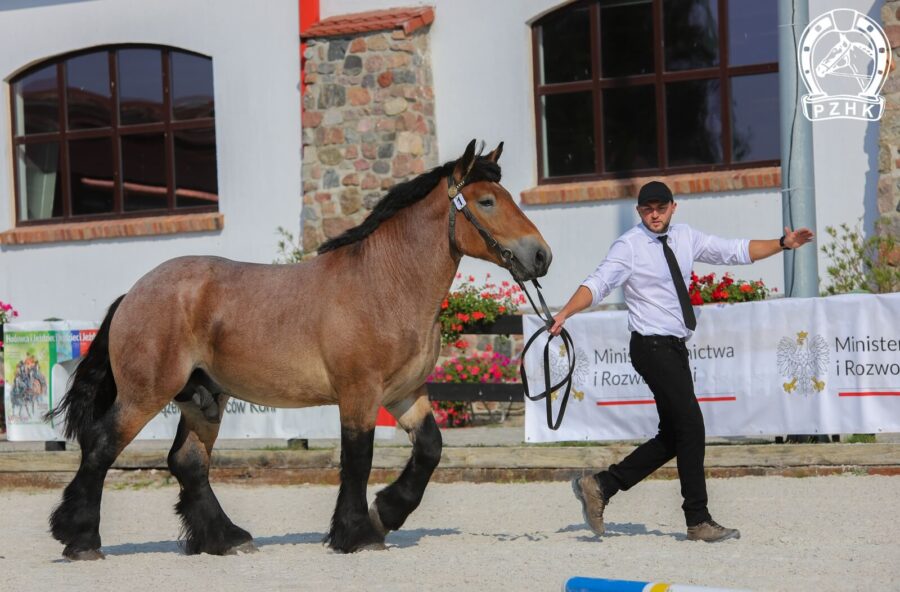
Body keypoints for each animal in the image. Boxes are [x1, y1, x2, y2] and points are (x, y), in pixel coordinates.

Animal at [49, 139, 556, 560]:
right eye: (487, 201)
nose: (540, 256)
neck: (385, 284)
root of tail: (134, 293)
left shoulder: (404, 394)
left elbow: (430, 449)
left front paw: (387, 512)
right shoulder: (359, 394)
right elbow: (357, 460)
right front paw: (358, 533)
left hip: (205, 398)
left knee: (188, 462)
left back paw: (225, 539)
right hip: (146, 393)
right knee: (101, 446)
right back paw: (81, 539)